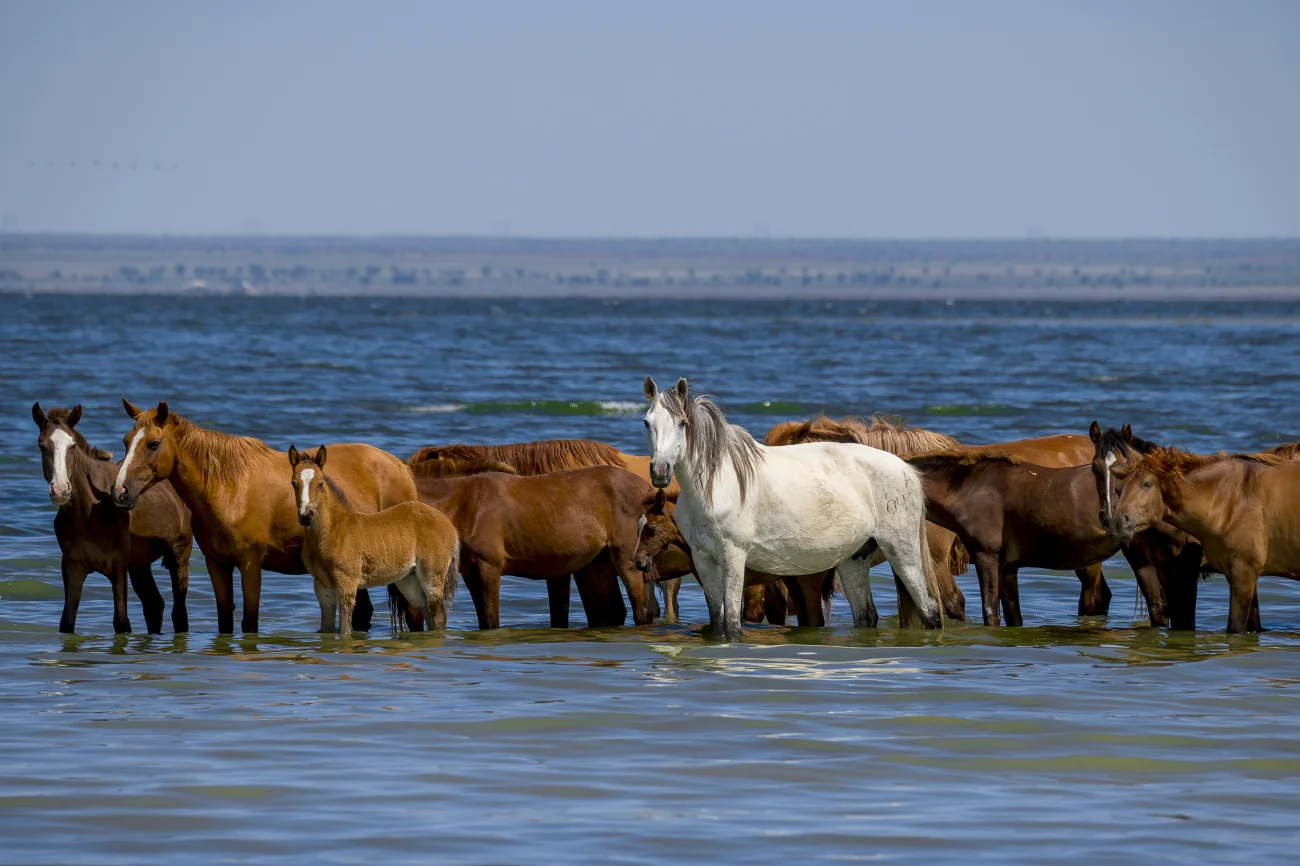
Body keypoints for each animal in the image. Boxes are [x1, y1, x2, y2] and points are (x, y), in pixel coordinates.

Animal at [33, 404, 193, 634]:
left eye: (72, 445)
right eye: (42, 445)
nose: (61, 490)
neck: (89, 513)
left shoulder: (118, 568)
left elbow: (122, 623)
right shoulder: (72, 568)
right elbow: (67, 623)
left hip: (179, 553)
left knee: (178, 613)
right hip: (140, 564)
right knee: (154, 605)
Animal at [111, 400, 417, 634]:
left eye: (153, 444)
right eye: (125, 442)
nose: (120, 491)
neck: (227, 488)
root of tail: (399, 466)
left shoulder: (250, 563)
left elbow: (249, 622)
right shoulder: (217, 565)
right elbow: (225, 621)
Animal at [289, 445, 459, 636]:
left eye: (319, 483)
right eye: (293, 483)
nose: (306, 516)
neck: (333, 529)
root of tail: (450, 525)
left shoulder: (346, 582)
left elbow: (345, 629)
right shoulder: (322, 587)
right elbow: (326, 629)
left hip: (432, 576)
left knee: (439, 616)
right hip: (409, 580)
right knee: (427, 613)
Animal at [413, 462, 659, 629]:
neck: (465, 504)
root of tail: (647, 489)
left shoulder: (489, 569)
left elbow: (491, 620)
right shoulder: (471, 573)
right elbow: (484, 620)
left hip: (626, 560)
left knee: (642, 610)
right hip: (599, 562)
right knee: (614, 610)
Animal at [1109, 445, 1300, 633]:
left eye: (1147, 484)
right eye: (1118, 489)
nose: (1118, 521)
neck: (1233, 499)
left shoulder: (1242, 573)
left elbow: (1234, 627)